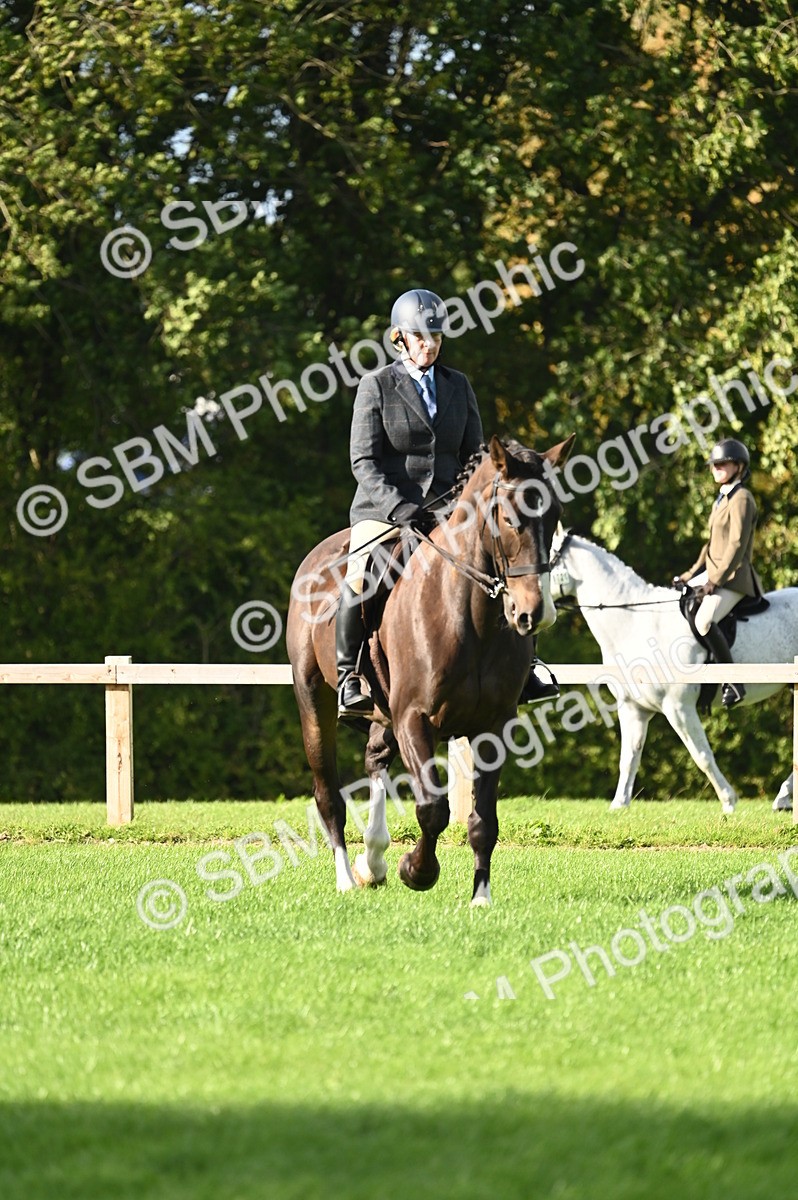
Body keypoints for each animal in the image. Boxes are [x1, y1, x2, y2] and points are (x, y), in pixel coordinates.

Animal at [286, 434, 575, 905]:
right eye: (509, 518)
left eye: (554, 516)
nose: (535, 614)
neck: (471, 617)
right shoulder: (414, 718)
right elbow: (433, 808)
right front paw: (417, 871)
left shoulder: (492, 726)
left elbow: (483, 820)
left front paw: (481, 898)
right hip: (315, 701)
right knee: (328, 793)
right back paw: (347, 877)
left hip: (383, 711)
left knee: (375, 757)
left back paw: (373, 861)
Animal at [549, 528, 798, 813]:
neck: (633, 624)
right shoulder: (633, 708)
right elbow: (629, 757)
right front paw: (619, 805)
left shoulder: (678, 707)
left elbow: (701, 755)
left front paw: (728, 801)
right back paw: (783, 798)